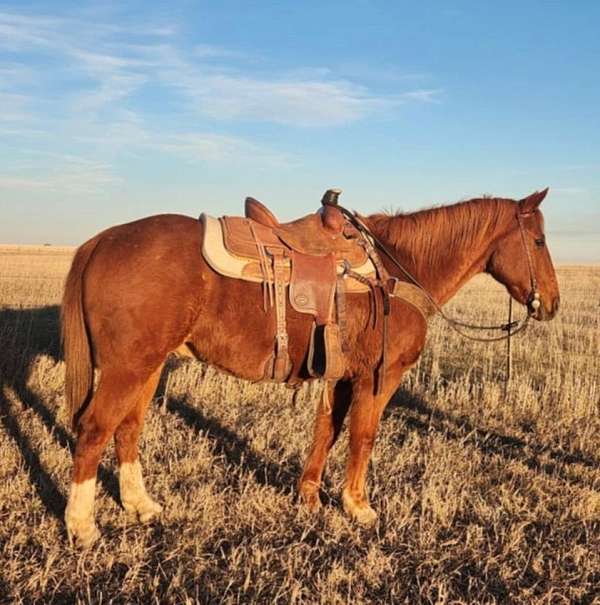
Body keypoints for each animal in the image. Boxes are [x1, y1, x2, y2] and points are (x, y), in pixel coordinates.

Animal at [59, 188, 556, 544]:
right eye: (538, 240)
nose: (550, 303)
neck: (400, 271)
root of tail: (100, 241)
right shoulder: (379, 377)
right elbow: (363, 435)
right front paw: (358, 506)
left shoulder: (340, 376)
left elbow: (326, 430)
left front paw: (310, 496)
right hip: (127, 369)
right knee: (95, 430)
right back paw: (82, 526)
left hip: (150, 366)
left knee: (128, 429)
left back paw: (141, 505)